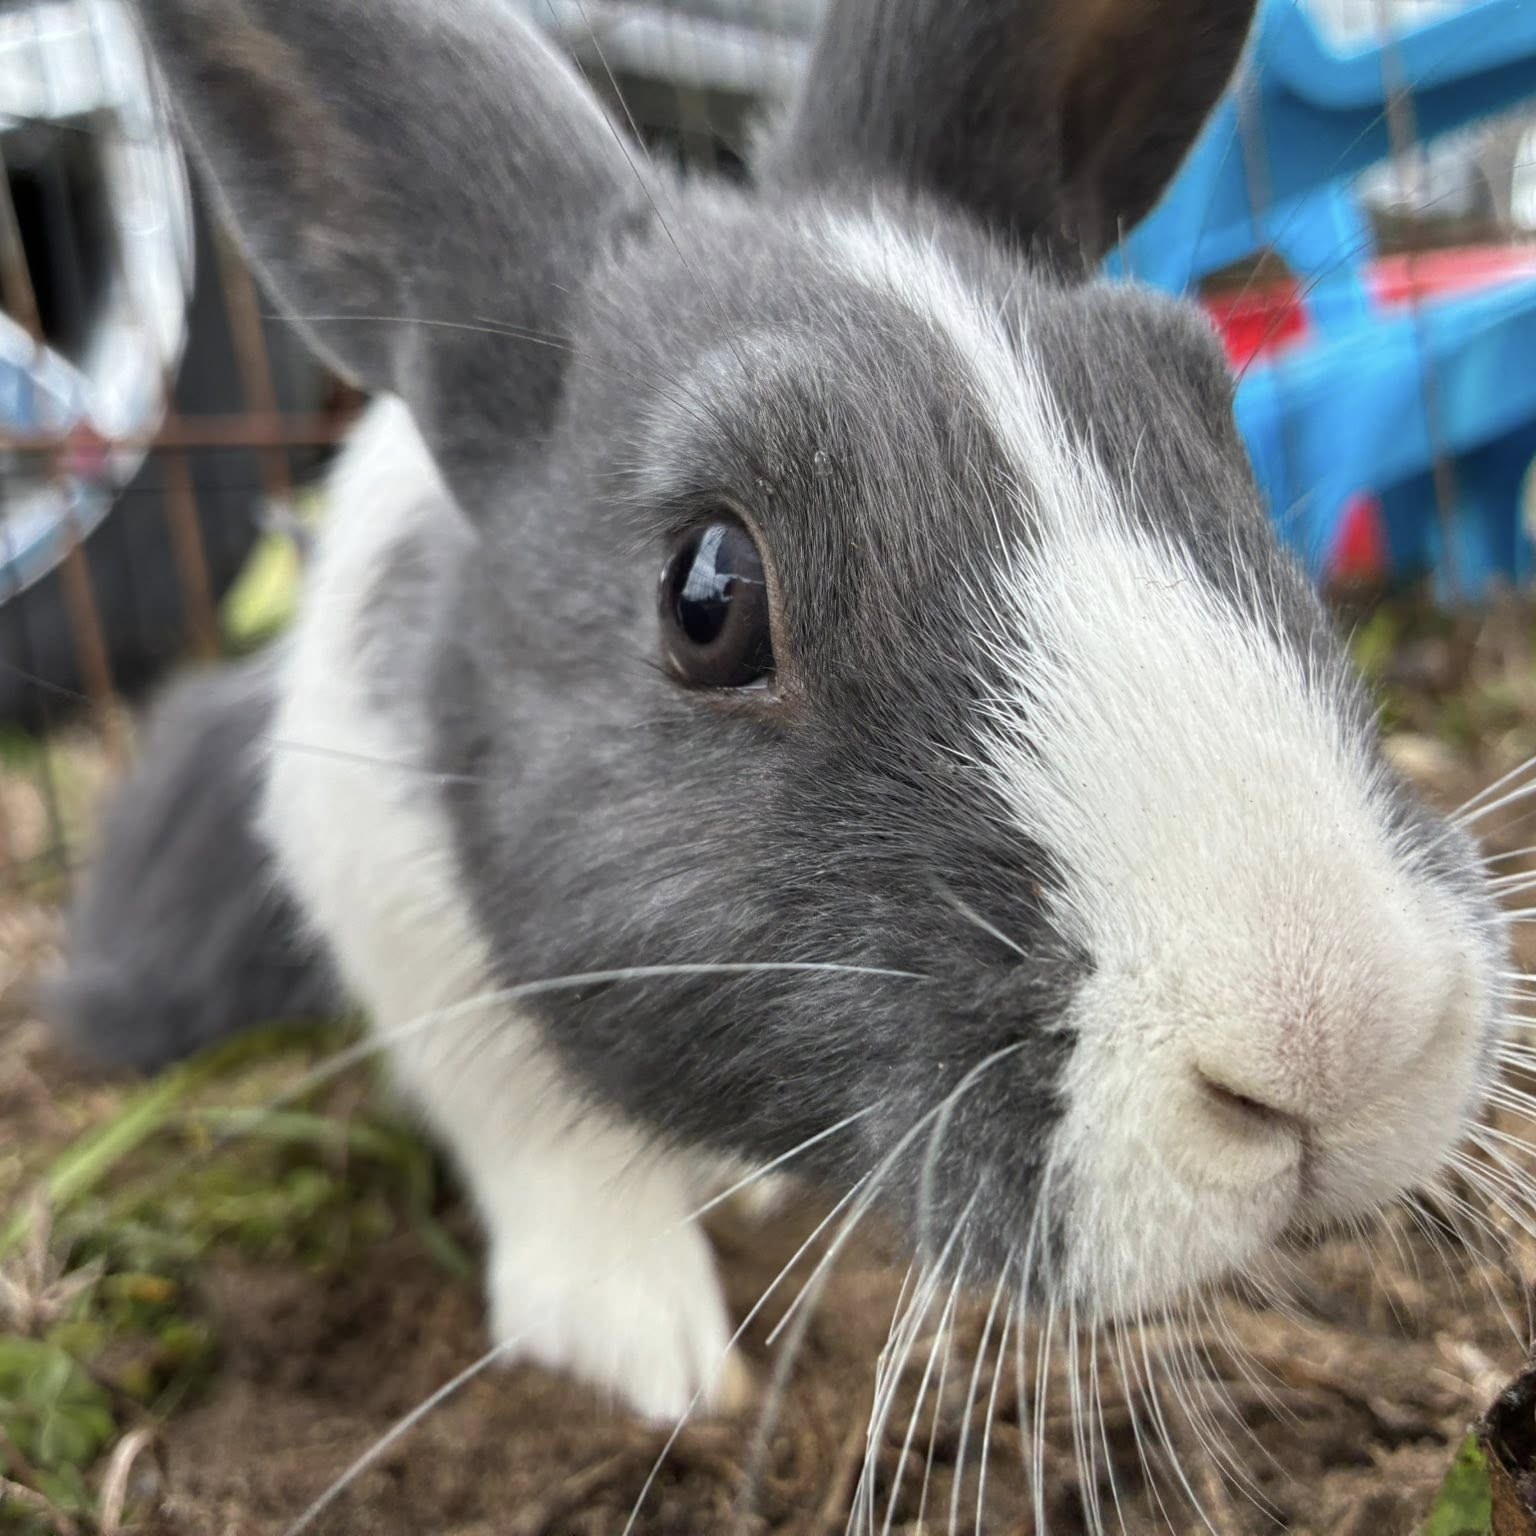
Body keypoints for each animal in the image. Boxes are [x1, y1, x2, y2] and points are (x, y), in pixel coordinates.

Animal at [56, 0, 1509, 1427]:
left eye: (1209, 409)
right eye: (708, 594)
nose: (1350, 1040)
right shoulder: (385, 892)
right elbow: (536, 1134)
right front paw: (649, 1357)